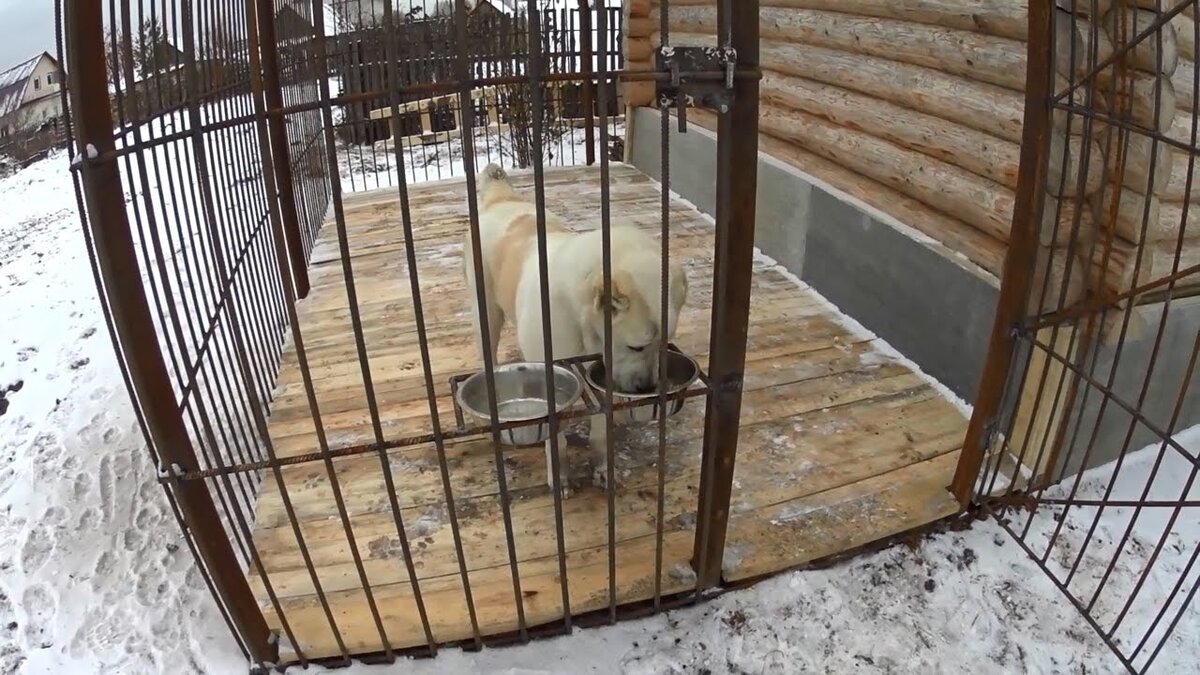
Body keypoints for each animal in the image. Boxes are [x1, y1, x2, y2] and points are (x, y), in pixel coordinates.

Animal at [460, 164, 691, 494]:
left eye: (663, 344)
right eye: (636, 346)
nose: (646, 388)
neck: (579, 316)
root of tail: (500, 200)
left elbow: (600, 431)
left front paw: (603, 468)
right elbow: (556, 441)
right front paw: (559, 476)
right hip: (486, 315)